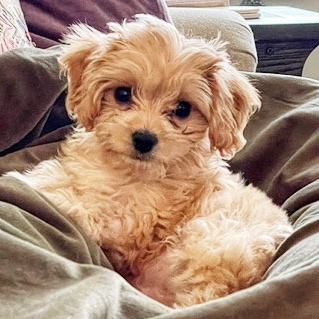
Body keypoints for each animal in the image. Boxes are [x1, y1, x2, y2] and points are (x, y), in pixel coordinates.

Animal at [7, 14, 292, 308]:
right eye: (122, 94)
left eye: (183, 109)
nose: (144, 139)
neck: (127, 170)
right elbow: (59, 176)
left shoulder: (132, 220)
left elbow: (83, 207)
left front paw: (23, 183)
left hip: (214, 239)